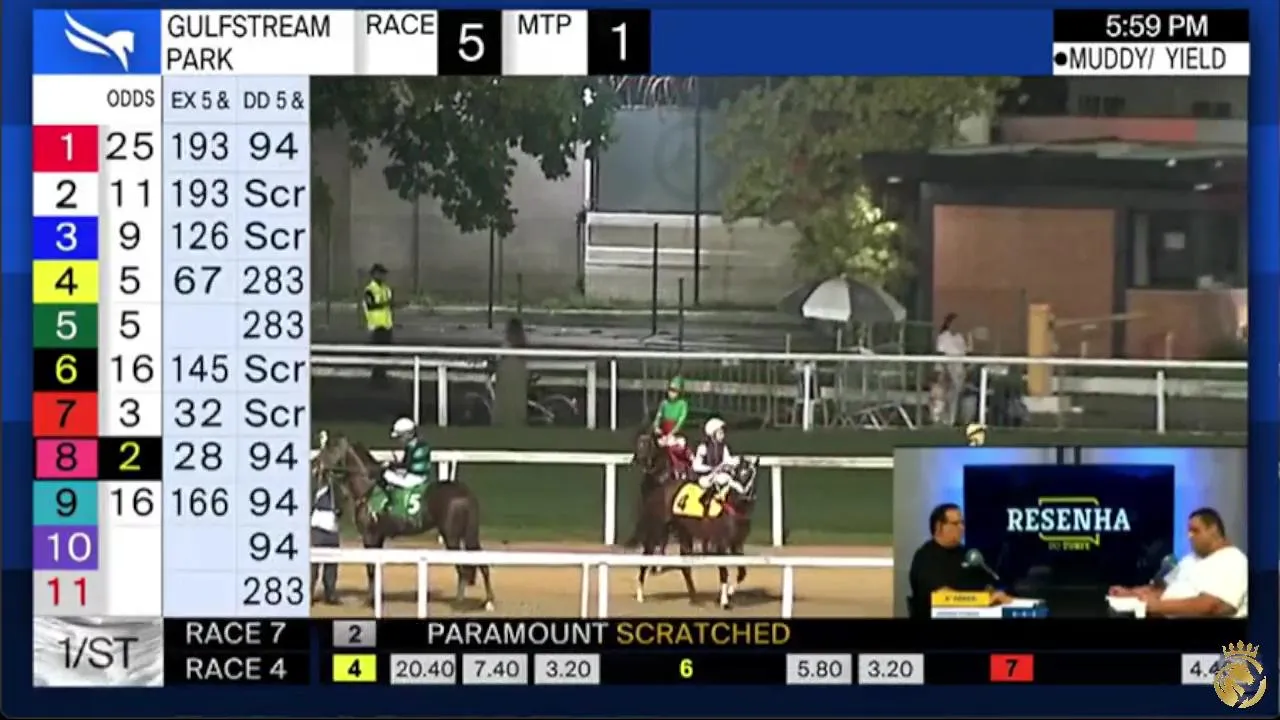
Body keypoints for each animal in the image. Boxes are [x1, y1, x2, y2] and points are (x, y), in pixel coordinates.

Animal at [313, 430, 496, 611]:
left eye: (330, 447)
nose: (315, 464)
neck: (368, 488)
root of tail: (466, 494)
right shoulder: (378, 537)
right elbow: (376, 568)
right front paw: (375, 599)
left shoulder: (370, 536)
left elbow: (371, 569)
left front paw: (370, 601)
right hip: (470, 534)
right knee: (482, 563)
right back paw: (488, 601)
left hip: (451, 536)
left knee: (462, 568)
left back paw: (460, 601)